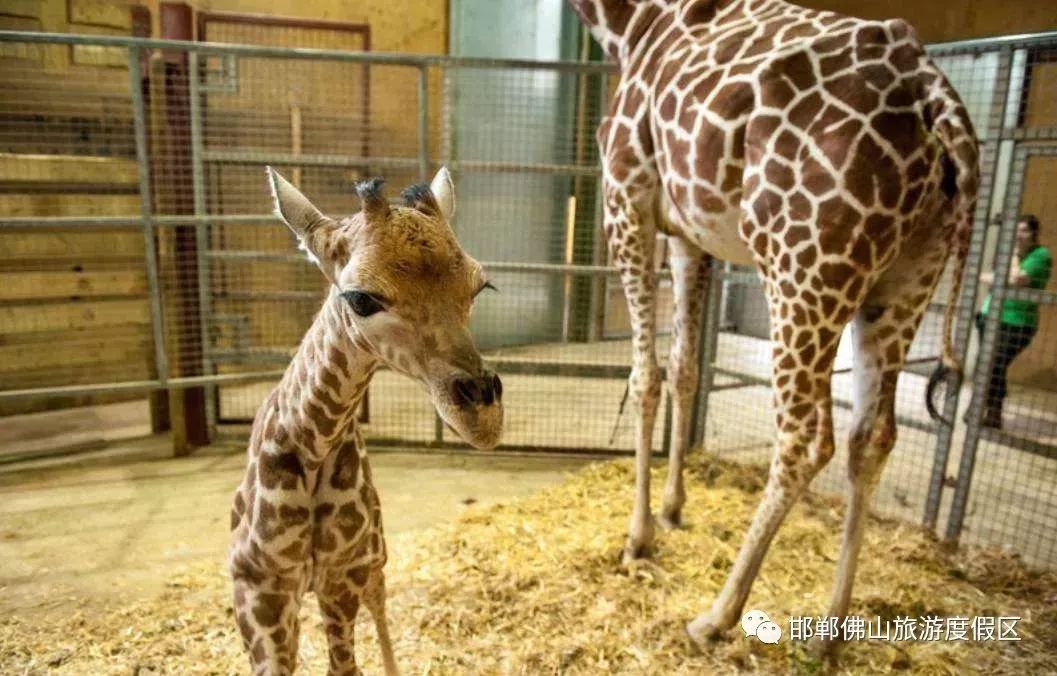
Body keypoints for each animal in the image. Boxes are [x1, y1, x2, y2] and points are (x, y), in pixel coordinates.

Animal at [228, 166, 507, 671]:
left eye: (480, 287)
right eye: (360, 299)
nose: (483, 417)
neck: (313, 446)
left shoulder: (343, 577)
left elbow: (346, 665)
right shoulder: (259, 590)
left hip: (375, 560)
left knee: (380, 611)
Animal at [570, 0, 980, 642]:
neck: (629, 25)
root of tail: (938, 104)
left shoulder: (626, 199)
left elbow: (645, 378)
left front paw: (638, 538)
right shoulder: (688, 232)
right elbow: (686, 369)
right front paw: (673, 508)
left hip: (803, 266)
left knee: (807, 437)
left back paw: (716, 616)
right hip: (909, 276)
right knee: (873, 434)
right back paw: (832, 631)